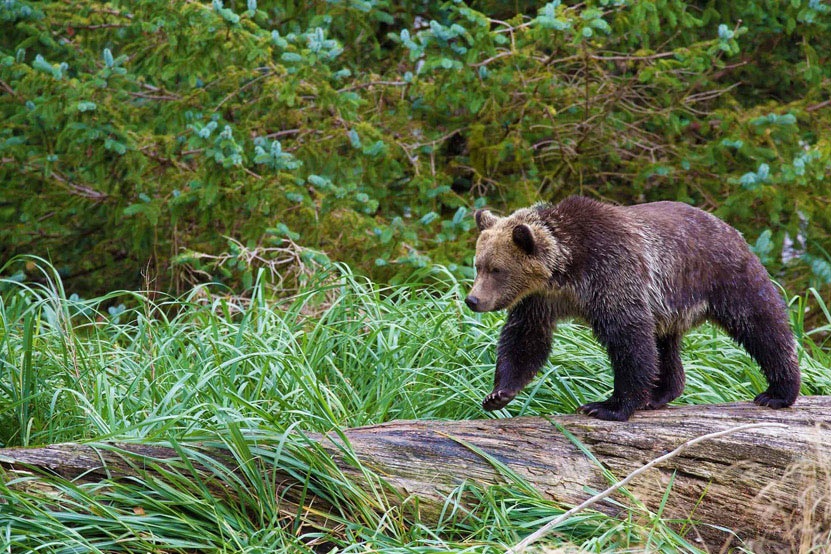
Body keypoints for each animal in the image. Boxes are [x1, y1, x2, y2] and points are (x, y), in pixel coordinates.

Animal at [468, 196, 800, 420]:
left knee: (761, 325)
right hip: (667, 306)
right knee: (665, 346)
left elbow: (629, 340)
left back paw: (778, 392)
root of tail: (727, 225)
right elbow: (525, 338)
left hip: (724, 275)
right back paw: (660, 393)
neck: (567, 270)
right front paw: (498, 394)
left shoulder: (612, 274)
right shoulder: (540, 300)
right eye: (478, 265)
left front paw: (607, 406)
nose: (473, 300)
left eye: (497, 269)